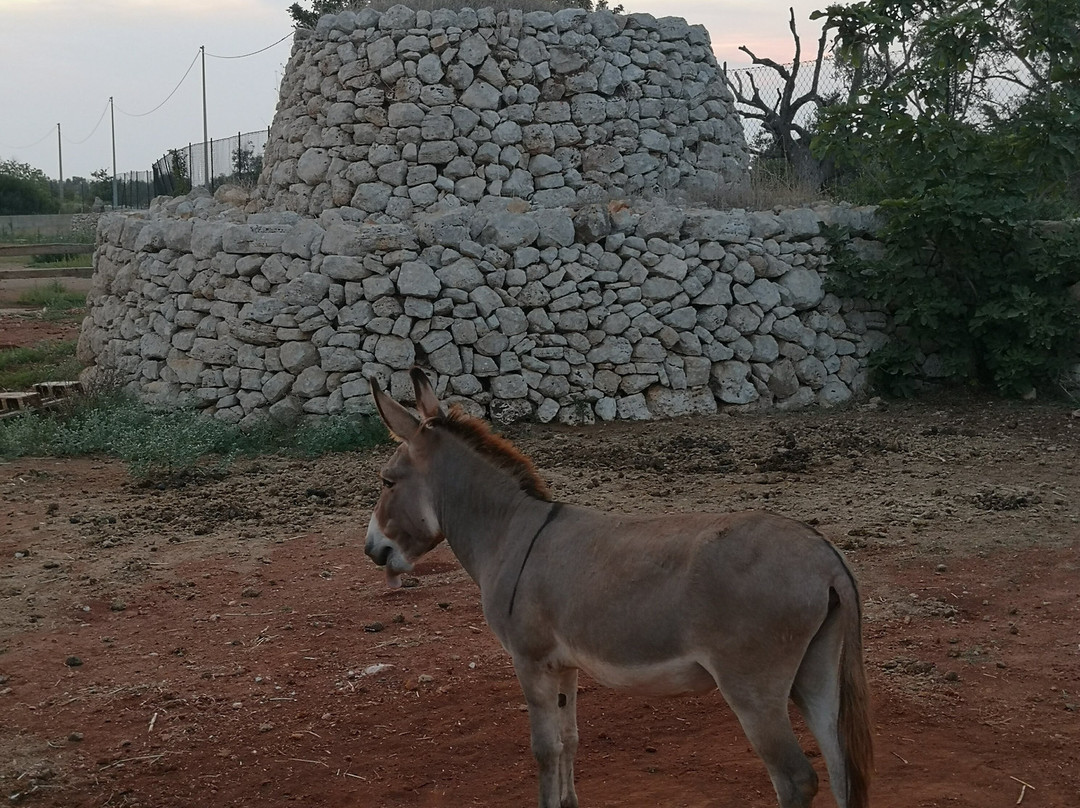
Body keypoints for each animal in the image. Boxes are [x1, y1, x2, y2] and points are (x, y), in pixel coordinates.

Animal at [365, 367, 873, 808]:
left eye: (387, 482)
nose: (372, 550)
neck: (508, 531)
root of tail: (826, 556)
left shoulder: (529, 660)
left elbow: (544, 749)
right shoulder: (563, 664)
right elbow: (569, 740)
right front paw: (569, 803)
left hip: (752, 687)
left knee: (796, 779)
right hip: (815, 672)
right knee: (842, 770)